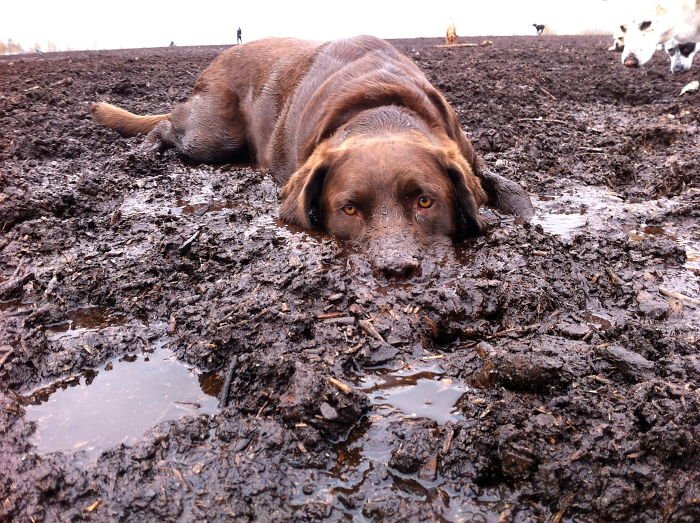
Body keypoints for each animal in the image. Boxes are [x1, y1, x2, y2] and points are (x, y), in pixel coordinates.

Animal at [90, 35, 532, 278]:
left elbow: (511, 189)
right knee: (167, 124)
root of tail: (218, 57)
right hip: (212, 136)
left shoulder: (466, 154)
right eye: (348, 209)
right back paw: (145, 150)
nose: (396, 270)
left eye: (426, 201)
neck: (381, 110)